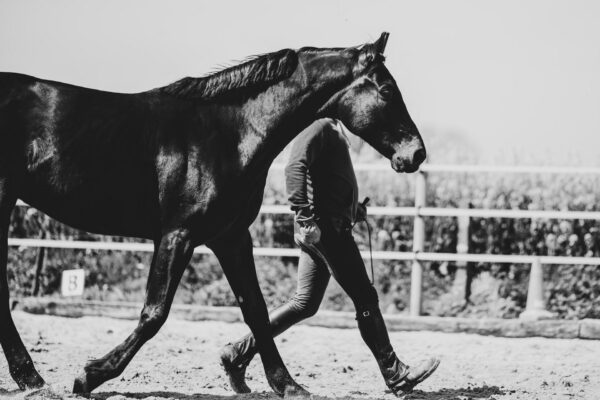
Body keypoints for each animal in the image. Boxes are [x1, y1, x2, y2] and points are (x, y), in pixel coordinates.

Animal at [1, 32, 426, 396]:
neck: (228, 133)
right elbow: (155, 312)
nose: (416, 153)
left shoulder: (231, 237)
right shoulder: (178, 235)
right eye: (387, 90)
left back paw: (30, 378)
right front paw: (90, 375)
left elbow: (256, 309)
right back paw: (33, 378)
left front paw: (286, 384)